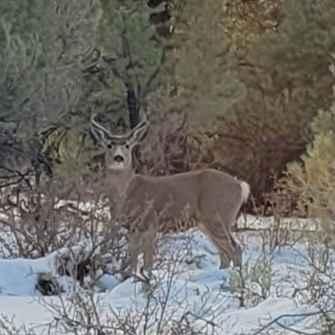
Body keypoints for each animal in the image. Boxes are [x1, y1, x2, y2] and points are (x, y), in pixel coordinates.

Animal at [90, 111, 251, 272]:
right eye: (109, 145)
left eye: (127, 145)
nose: (118, 158)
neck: (127, 193)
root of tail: (240, 186)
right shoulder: (132, 228)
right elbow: (133, 260)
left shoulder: (150, 222)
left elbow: (147, 262)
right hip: (207, 222)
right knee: (225, 254)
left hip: (217, 215)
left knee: (235, 249)